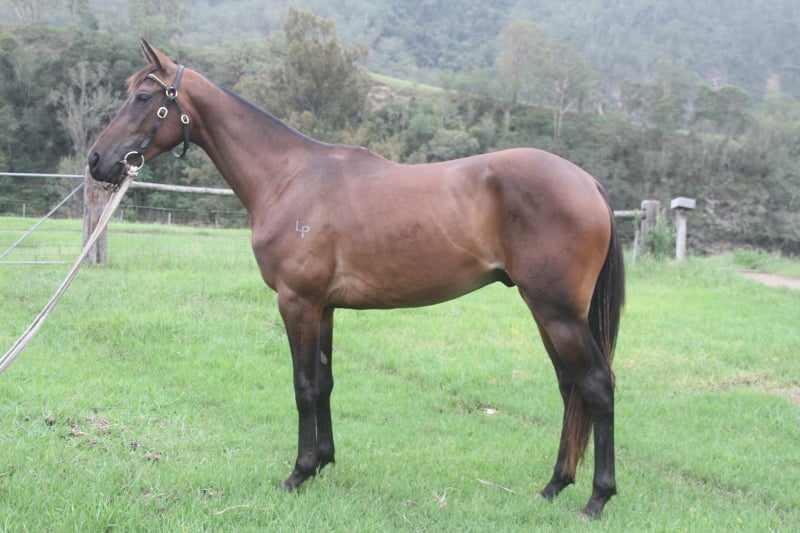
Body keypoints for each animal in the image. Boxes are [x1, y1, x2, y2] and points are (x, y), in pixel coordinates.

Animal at [88, 40, 625, 518]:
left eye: (142, 97)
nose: (97, 160)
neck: (289, 177)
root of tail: (588, 182)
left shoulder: (297, 303)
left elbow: (304, 386)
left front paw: (299, 472)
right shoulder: (324, 307)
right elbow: (325, 382)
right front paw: (324, 462)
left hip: (558, 313)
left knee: (597, 385)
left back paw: (597, 499)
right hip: (547, 313)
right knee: (570, 388)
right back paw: (554, 486)